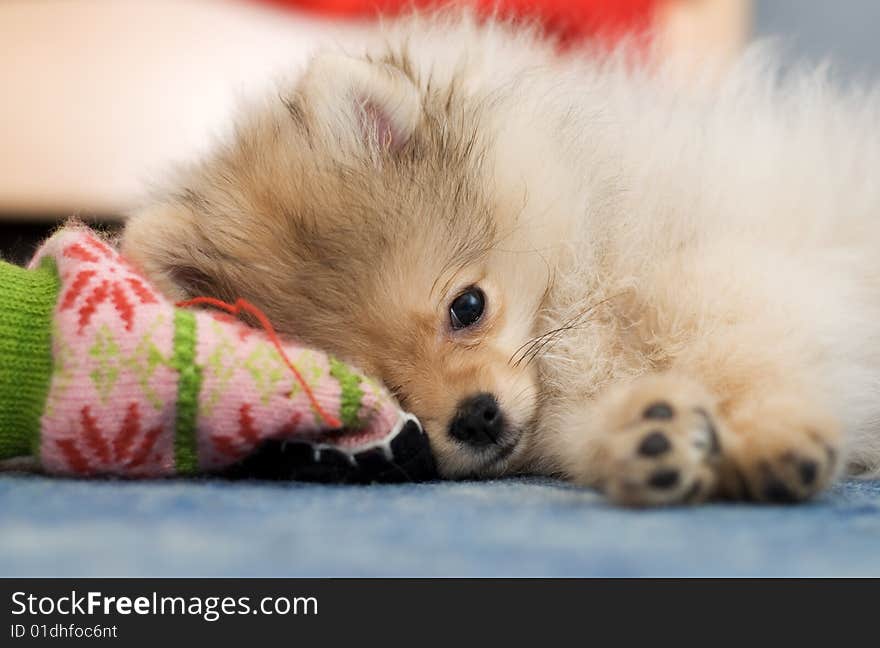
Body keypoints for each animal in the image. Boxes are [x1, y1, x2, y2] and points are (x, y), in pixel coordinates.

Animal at [120, 11, 880, 506]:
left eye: (467, 307)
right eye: (386, 392)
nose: (475, 417)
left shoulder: (723, 280)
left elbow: (746, 361)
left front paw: (771, 437)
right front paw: (646, 437)